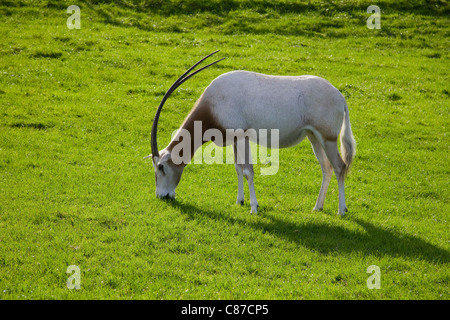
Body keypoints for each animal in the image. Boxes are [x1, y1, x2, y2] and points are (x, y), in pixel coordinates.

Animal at [146, 50, 356, 215]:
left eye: (161, 167)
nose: (162, 196)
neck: (213, 103)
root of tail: (340, 97)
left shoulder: (242, 136)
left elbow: (248, 171)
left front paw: (254, 207)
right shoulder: (234, 139)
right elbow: (238, 168)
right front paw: (240, 201)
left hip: (328, 138)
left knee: (340, 166)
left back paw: (341, 210)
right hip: (314, 137)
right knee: (327, 167)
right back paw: (317, 207)